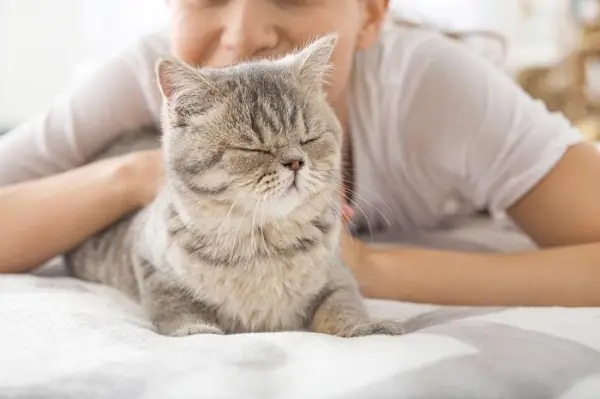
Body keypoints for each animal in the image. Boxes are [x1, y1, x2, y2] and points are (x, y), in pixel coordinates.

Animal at [64, 34, 404, 340]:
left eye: (309, 139)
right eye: (252, 148)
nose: (296, 162)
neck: (263, 248)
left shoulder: (337, 275)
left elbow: (342, 305)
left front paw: (366, 328)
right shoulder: (150, 265)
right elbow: (177, 306)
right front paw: (197, 330)